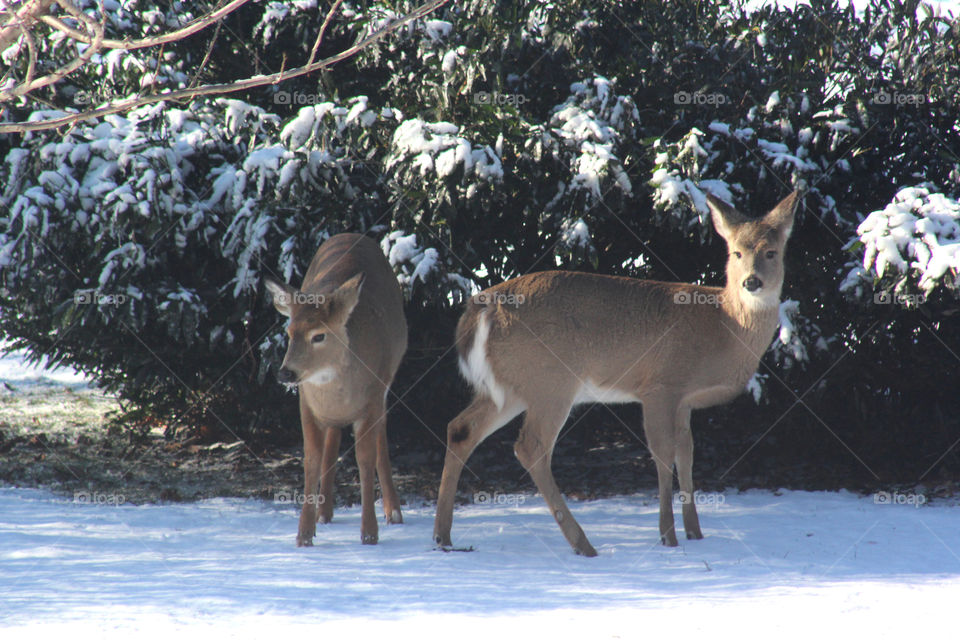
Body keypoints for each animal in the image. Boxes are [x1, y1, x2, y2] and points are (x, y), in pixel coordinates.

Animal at [264, 232, 406, 548]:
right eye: (289, 333)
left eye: (319, 336)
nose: (285, 373)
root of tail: (351, 234)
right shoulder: (306, 404)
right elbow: (311, 460)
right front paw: (304, 534)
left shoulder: (372, 400)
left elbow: (365, 459)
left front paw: (369, 533)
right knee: (332, 439)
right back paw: (324, 512)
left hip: (386, 384)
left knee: (381, 439)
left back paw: (394, 512)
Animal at [432, 189, 800, 556]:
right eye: (736, 252)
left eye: (771, 251)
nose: (752, 281)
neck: (724, 324)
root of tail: (480, 309)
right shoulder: (659, 386)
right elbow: (663, 454)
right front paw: (668, 536)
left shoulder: (684, 400)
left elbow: (687, 453)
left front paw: (695, 532)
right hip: (551, 381)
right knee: (531, 446)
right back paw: (583, 543)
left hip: (510, 388)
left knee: (460, 429)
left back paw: (443, 536)